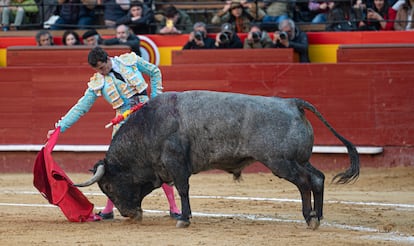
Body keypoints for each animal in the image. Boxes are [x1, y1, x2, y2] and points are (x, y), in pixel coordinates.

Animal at [77, 90, 360, 229]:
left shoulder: (176, 164)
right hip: (299, 159)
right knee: (317, 178)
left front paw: (184, 219)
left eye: (108, 186)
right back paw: (318, 216)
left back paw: (309, 218)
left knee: (303, 182)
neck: (149, 126)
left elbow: (183, 189)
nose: (129, 214)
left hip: (281, 162)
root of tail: (292, 103)